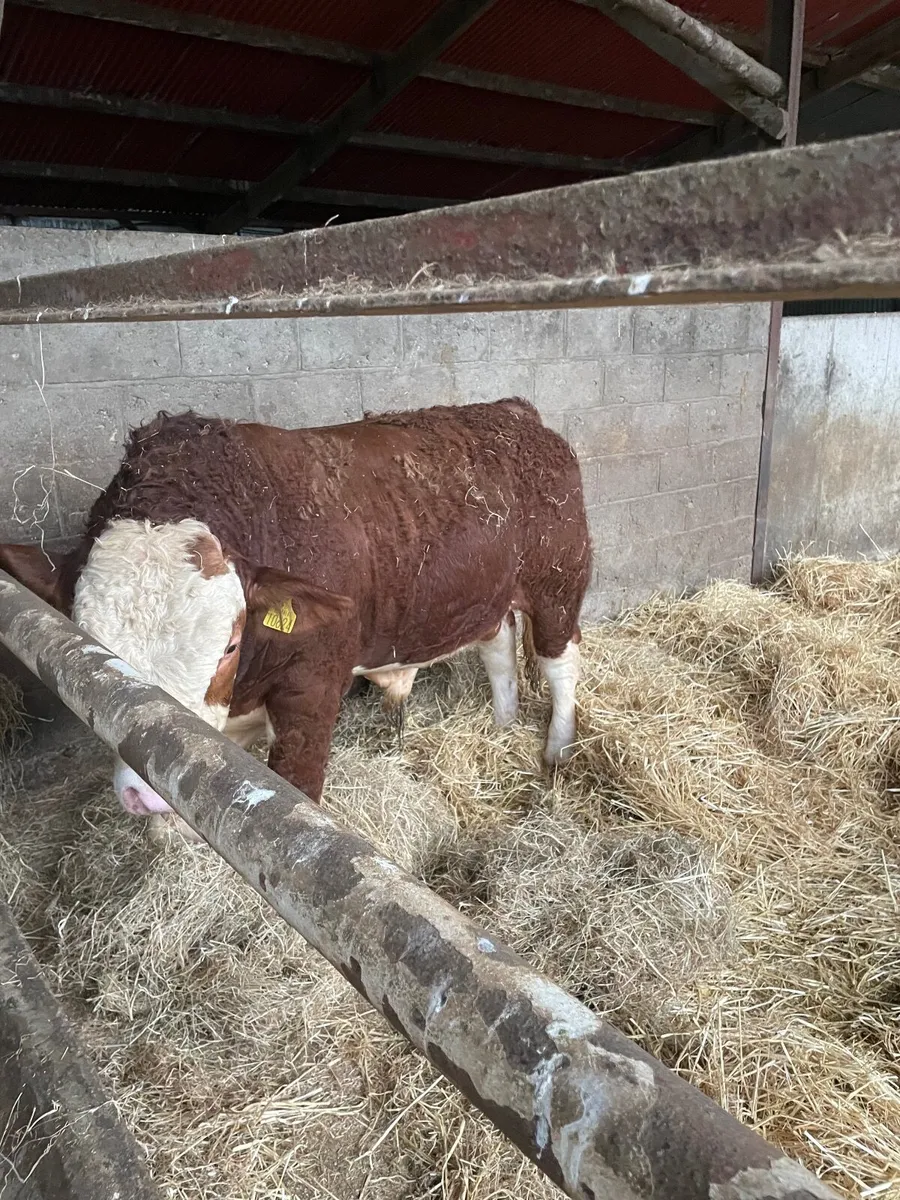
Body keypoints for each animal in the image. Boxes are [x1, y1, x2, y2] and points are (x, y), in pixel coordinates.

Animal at [0, 399, 591, 843]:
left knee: (559, 661)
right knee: (499, 645)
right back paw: (502, 726)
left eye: (230, 645)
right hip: (485, 595)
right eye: (91, 651)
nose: (146, 790)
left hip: (558, 581)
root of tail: (512, 411)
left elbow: (297, 796)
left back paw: (558, 750)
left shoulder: (315, 680)